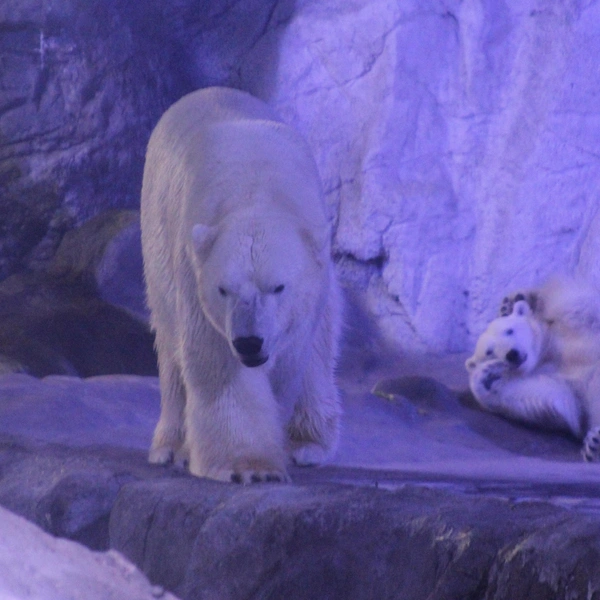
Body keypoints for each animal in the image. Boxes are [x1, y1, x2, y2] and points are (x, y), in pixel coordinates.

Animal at [138, 88, 340, 482]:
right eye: (224, 289)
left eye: (278, 287)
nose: (249, 342)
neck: (257, 189)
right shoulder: (195, 268)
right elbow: (218, 364)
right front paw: (250, 467)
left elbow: (292, 358)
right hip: (157, 245)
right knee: (170, 346)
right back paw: (171, 447)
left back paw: (308, 443)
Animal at [466, 278, 600, 462]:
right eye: (489, 352)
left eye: (509, 330)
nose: (512, 354)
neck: (548, 351)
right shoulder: (558, 377)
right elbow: (553, 397)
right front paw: (486, 377)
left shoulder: (574, 325)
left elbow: (578, 300)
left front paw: (519, 300)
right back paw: (594, 445)